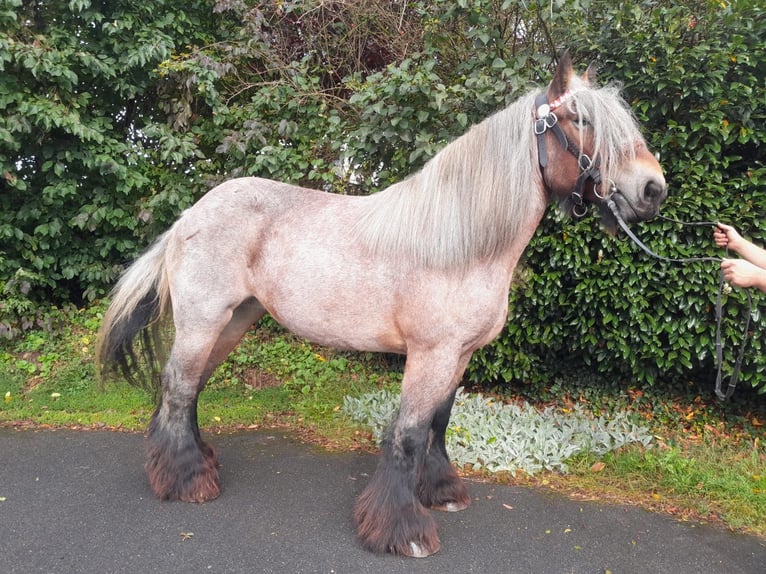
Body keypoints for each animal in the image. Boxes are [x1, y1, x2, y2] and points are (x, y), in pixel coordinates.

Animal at [99, 54, 668, 560]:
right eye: (580, 120)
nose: (653, 188)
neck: (461, 243)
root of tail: (189, 216)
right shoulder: (431, 354)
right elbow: (408, 434)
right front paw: (403, 531)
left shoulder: (459, 355)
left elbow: (439, 423)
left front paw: (440, 492)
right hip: (203, 321)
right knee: (178, 385)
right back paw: (187, 482)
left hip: (233, 323)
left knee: (190, 388)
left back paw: (197, 465)